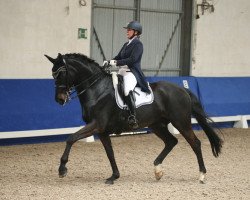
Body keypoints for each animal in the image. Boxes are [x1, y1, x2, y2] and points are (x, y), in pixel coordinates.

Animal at [44, 52, 223, 184]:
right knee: (171, 141)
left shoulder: (97, 125)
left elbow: (70, 138)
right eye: (53, 75)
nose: (59, 99)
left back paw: (201, 175)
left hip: (181, 122)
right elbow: (110, 153)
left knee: (195, 143)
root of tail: (182, 89)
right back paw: (158, 170)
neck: (97, 90)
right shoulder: (102, 131)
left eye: (61, 74)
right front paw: (114, 176)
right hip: (157, 125)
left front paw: (62, 169)